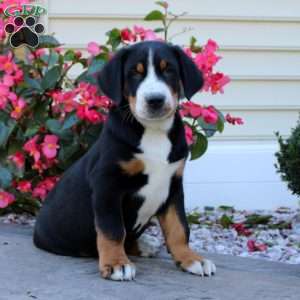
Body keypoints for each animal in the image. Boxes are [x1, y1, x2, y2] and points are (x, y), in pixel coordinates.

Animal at [33, 40, 216, 282]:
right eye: (134, 73)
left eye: (169, 70)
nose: (155, 100)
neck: (154, 131)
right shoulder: (107, 186)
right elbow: (112, 230)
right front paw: (116, 264)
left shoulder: (173, 187)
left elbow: (179, 228)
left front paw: (190, 259)